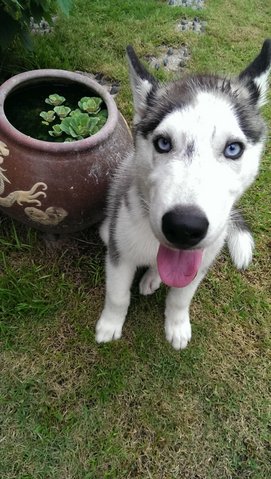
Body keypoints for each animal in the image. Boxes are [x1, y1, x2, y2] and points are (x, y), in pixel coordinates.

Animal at [95, 39, 270, 350]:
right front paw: (110, 325)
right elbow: (117, 296)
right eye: (163, 143)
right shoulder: (119, 253)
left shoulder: (199, 265)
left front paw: (177, 326)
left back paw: (152, 278)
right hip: (108, 228)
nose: (184, 227)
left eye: (233, 149)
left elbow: (180, 299)